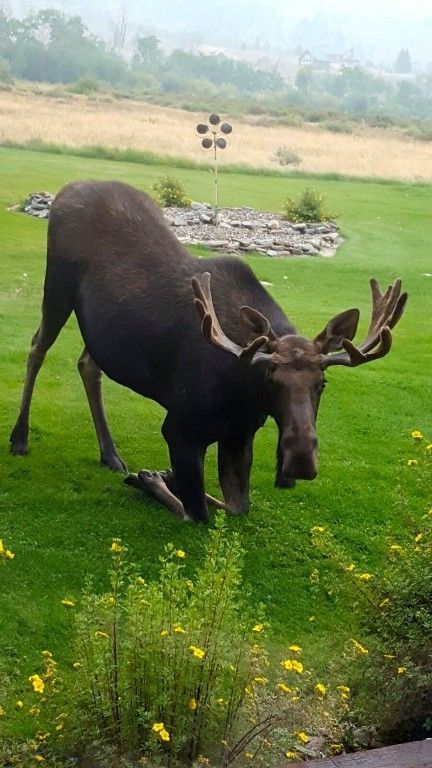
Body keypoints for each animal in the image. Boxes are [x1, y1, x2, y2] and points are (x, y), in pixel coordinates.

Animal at [10, 180, 407, 523]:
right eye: (272, 378)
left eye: (322, 383)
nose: (300, 461)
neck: (243, 396)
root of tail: (65, 190)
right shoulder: (181, 428)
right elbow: (195, 510)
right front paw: (150, 478)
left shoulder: (239, 435)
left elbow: (235, 506)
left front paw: (162, 475)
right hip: (57, 287)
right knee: (36, 347)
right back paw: (20, 437)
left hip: (100, 328)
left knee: (87, 364)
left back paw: (110, 453)